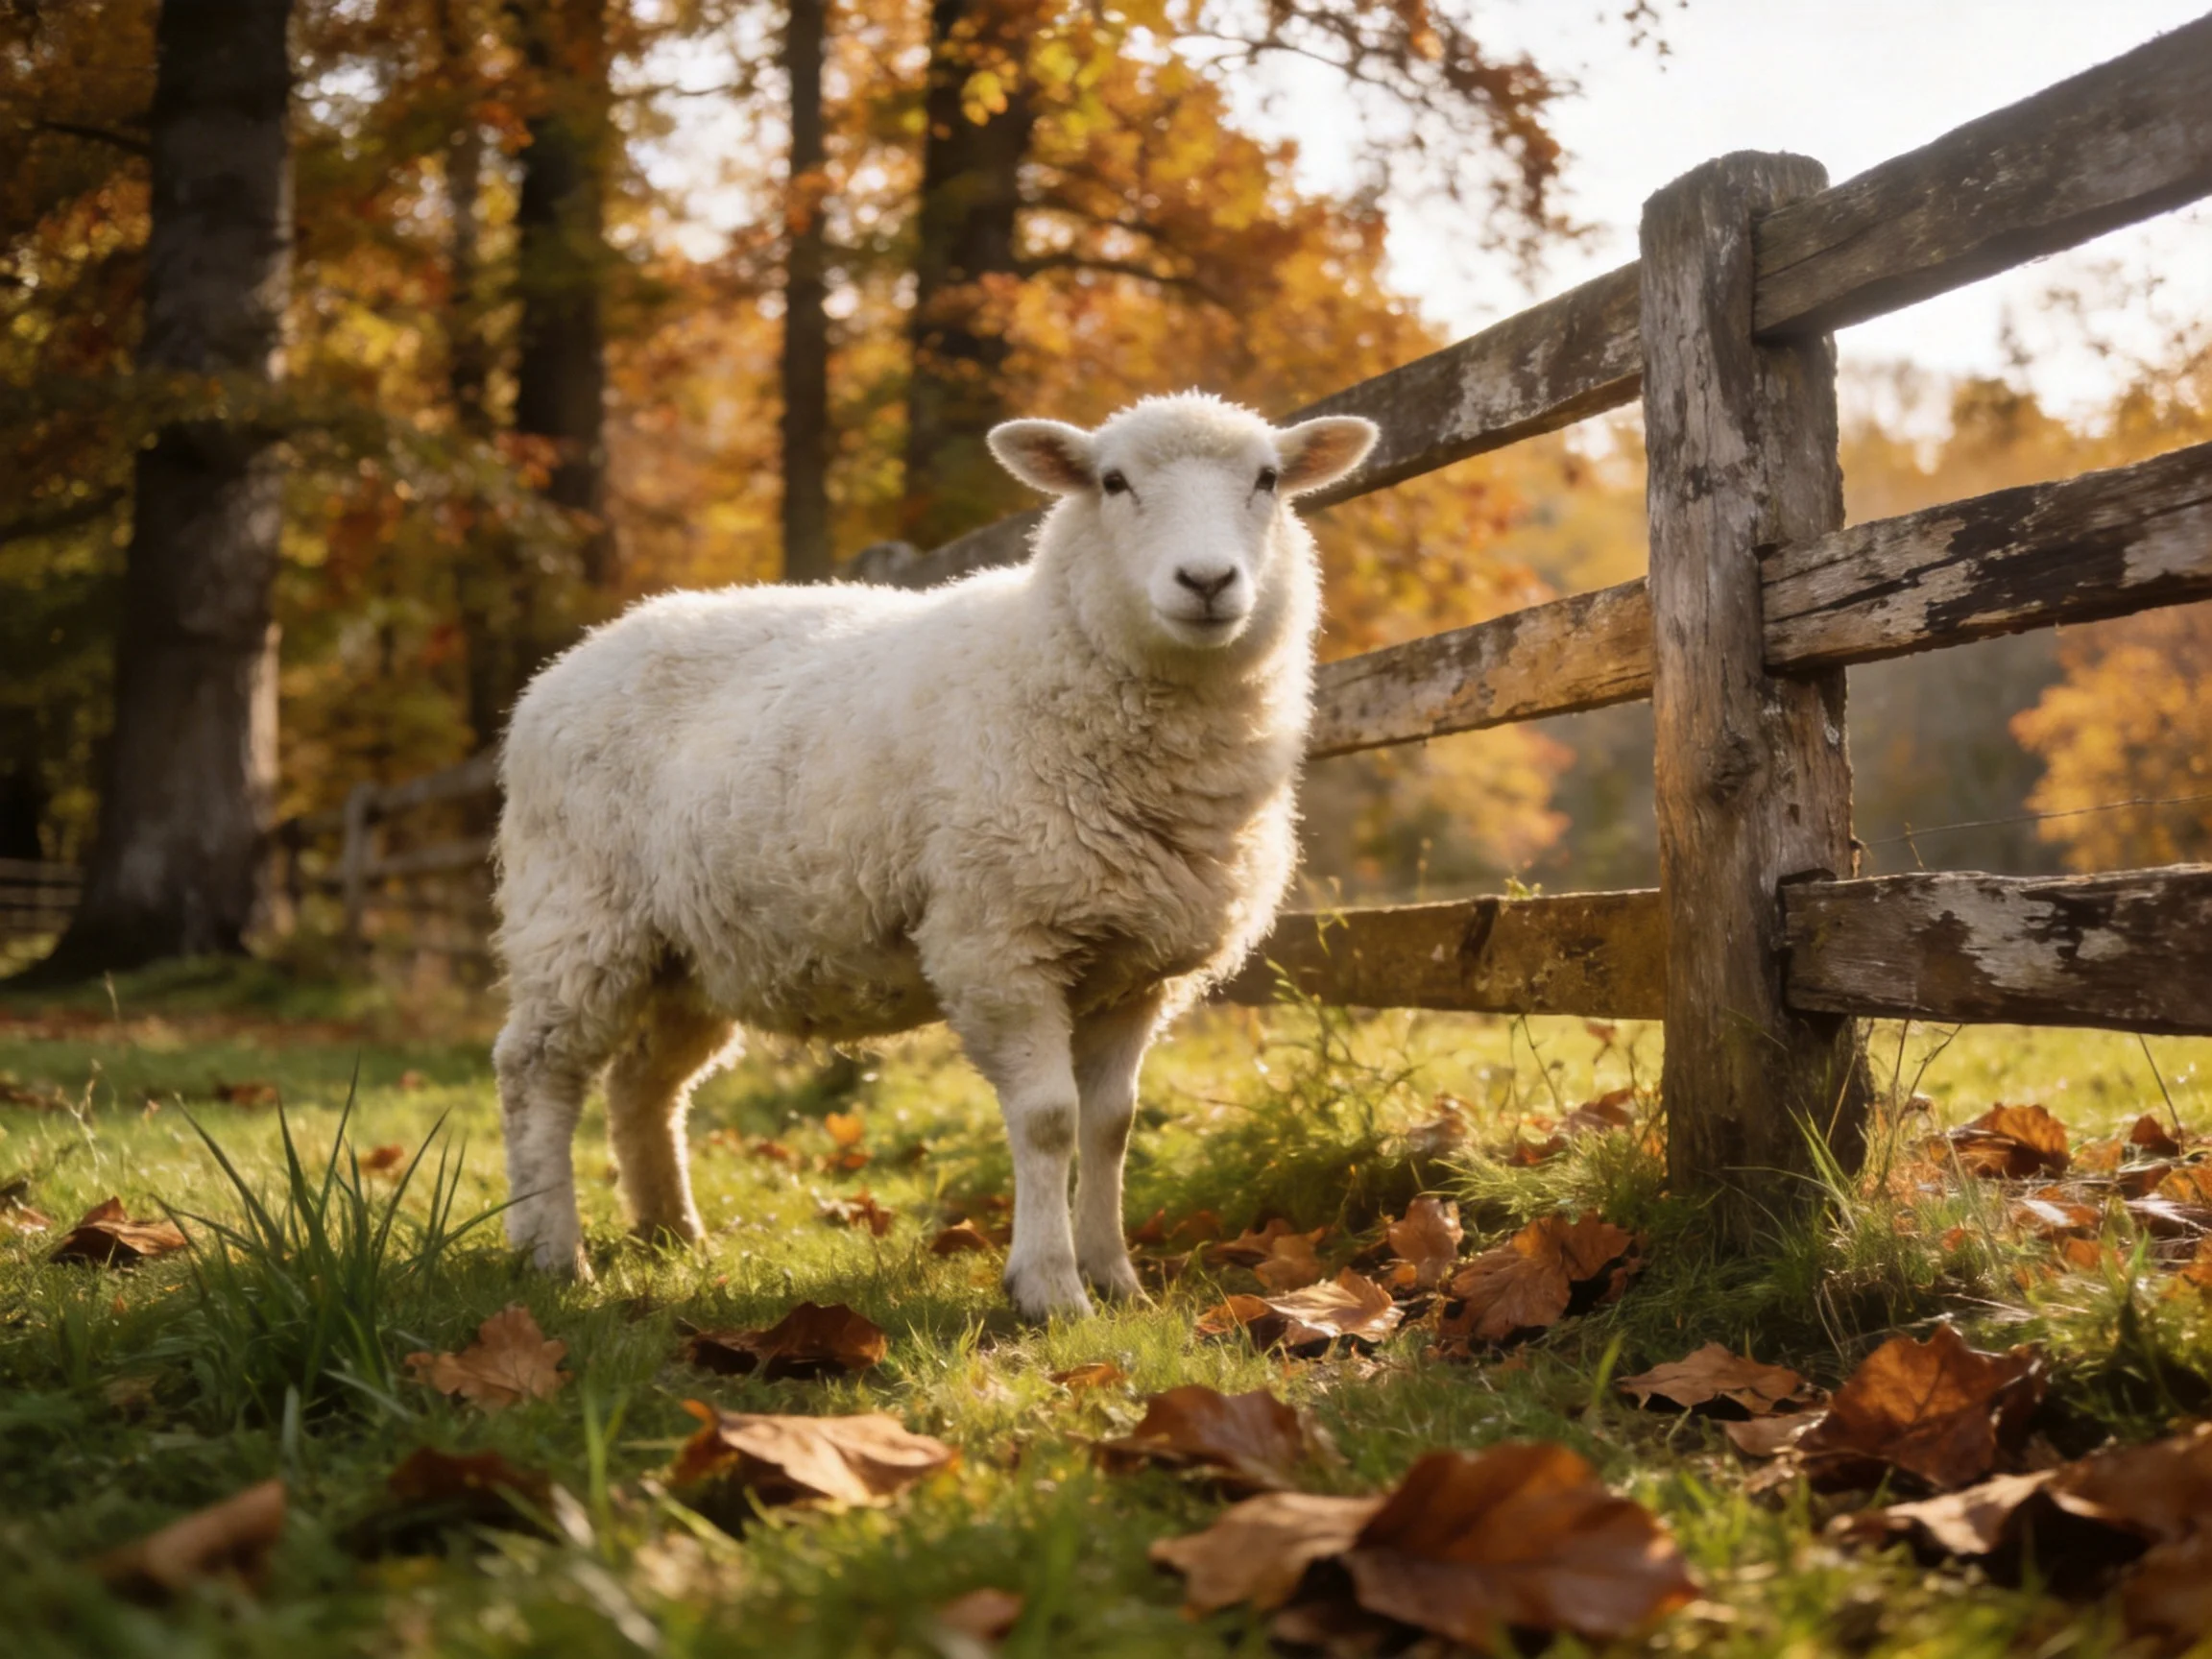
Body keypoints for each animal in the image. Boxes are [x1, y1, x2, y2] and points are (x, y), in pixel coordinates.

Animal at [491, 392, 1377, 1318]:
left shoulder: (1137, 969)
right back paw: (551, 1251)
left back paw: (671, 1233)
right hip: (578, 917)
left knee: (645, 1085)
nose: (1206, 582)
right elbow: (1050, 1120)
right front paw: (1050, 1289)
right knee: (535, 1073)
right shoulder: (997, 945)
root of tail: (570, 659)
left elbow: (1112, 1124)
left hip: (688, 953)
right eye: (1113, 482)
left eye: (1267, 480)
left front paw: (1116, 1278)